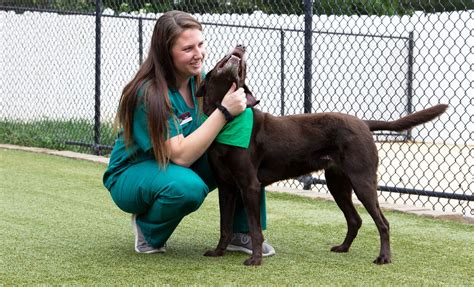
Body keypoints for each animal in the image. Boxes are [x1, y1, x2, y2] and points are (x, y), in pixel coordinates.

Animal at [197, 44, 448, 266]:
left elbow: (254, 227)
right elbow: (225, 225)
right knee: (355, 220)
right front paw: (218, 252)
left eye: (243, 68)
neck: (226, 119)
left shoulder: (250, 185)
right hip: (337, 182)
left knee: (383, 223)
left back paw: (384, 258)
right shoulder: (227, 187)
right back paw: (344, 247)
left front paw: (256, 259)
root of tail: (363, 123)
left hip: (363, 180)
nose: (241, 47)